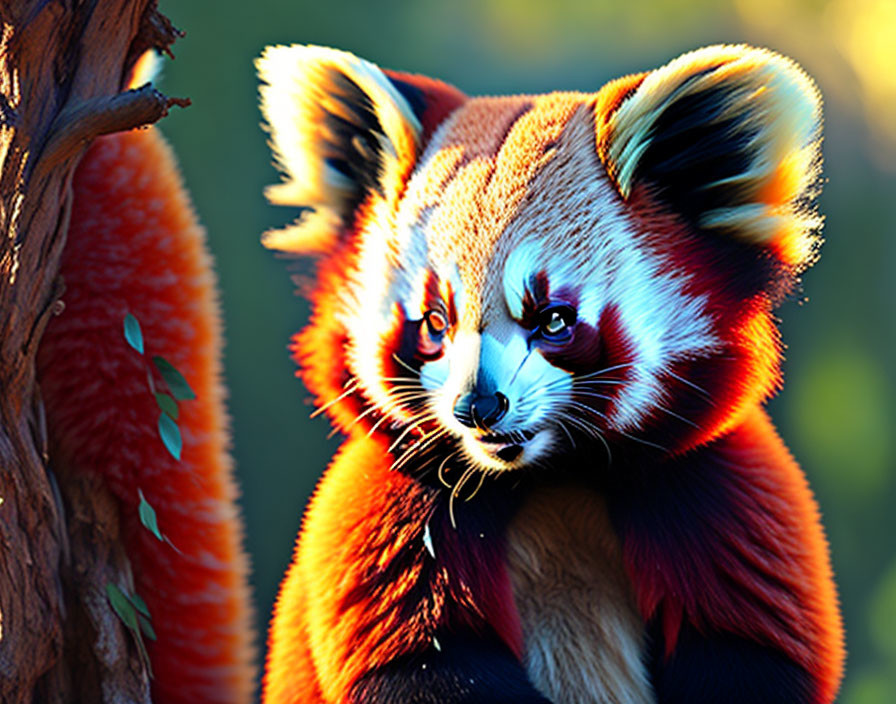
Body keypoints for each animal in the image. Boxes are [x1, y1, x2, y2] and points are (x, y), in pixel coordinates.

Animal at [256, 45, 844, 704]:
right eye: (435, 321)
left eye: (552, 319)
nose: (478, 407)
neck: (553, 474)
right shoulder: (389, 508)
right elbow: (424, 665)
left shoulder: (717, 488)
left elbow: (746, 656)